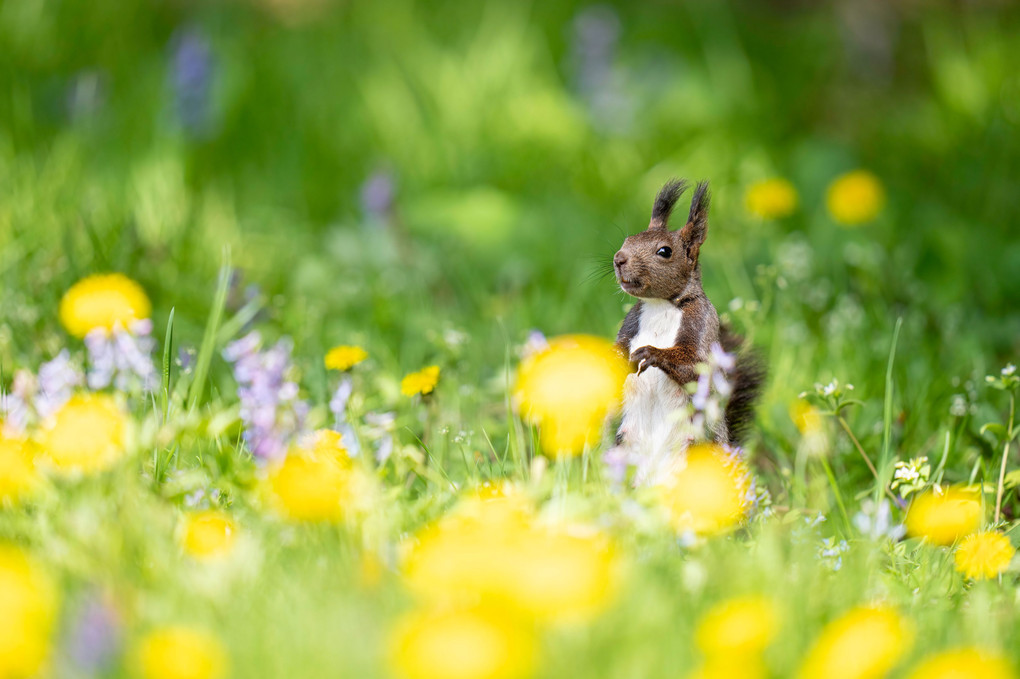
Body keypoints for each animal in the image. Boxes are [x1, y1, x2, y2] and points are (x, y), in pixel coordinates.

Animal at [607, 177, 762, 479]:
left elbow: (695, 365)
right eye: (627, 240)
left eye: (664, 252)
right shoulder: (631, 322)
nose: (619, 259)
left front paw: (651, 353)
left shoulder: (702, 322)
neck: (659, 305)